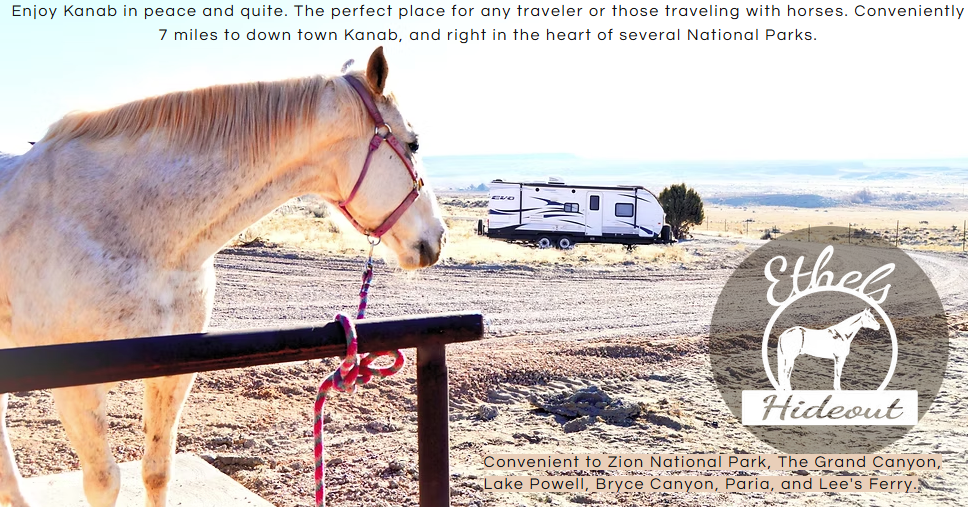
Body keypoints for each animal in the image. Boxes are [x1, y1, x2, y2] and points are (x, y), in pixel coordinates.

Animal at [0, 47, 446, 507]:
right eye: (413, 142)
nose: (437, 237)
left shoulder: (173, 372)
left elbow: (157, 470)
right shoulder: (77, 389)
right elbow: (103, 483)